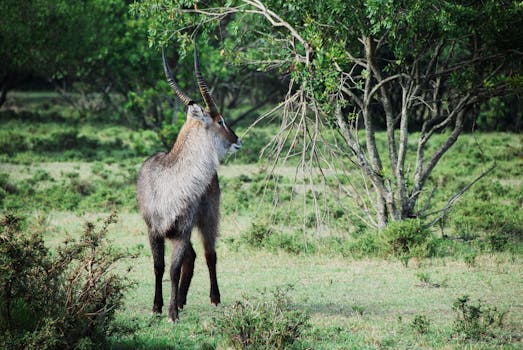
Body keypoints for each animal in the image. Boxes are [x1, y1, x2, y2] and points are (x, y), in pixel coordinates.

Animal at [135, 45, 242, 322]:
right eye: (220, 120)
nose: (238, 140)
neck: (170, 182)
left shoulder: (182, 231)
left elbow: (173, 269)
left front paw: (171, 313)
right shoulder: (155, 230)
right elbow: (159, 267)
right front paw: (158, 306)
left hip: (208, 219)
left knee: (209, 255)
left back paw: (213, 298)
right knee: (192, 258)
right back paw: (182, 300)